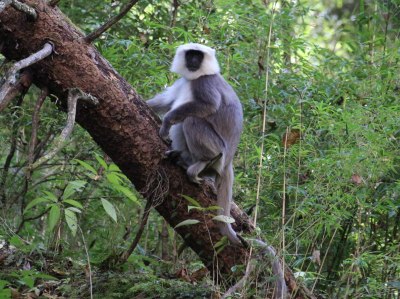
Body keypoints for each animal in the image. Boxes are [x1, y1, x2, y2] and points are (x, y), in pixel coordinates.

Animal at [146, 42, 242, 246]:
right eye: (190, 55)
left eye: (198, 56)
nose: (193, 62)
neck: (194, 78)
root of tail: (228, 162)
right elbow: (166, 102)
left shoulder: (205, 83)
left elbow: (208, 106)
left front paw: (166, 122)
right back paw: (183, 159)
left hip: (217, 149)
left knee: (191, 120)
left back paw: (201, 163)